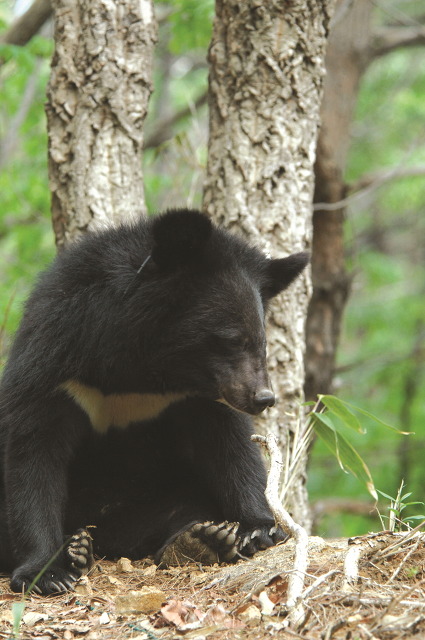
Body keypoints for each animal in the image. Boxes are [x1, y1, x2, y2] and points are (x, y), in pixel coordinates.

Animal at [0, 210, 306, 596]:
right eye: (232, 340)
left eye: (261, 342)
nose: (263, 398)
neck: (146, 368)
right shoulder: (56, 366)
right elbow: (33, 456)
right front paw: (48, 574)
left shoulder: (196, 396)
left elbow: (230, 447)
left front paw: (259, 529)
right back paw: (77, 548)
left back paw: (201, 539)